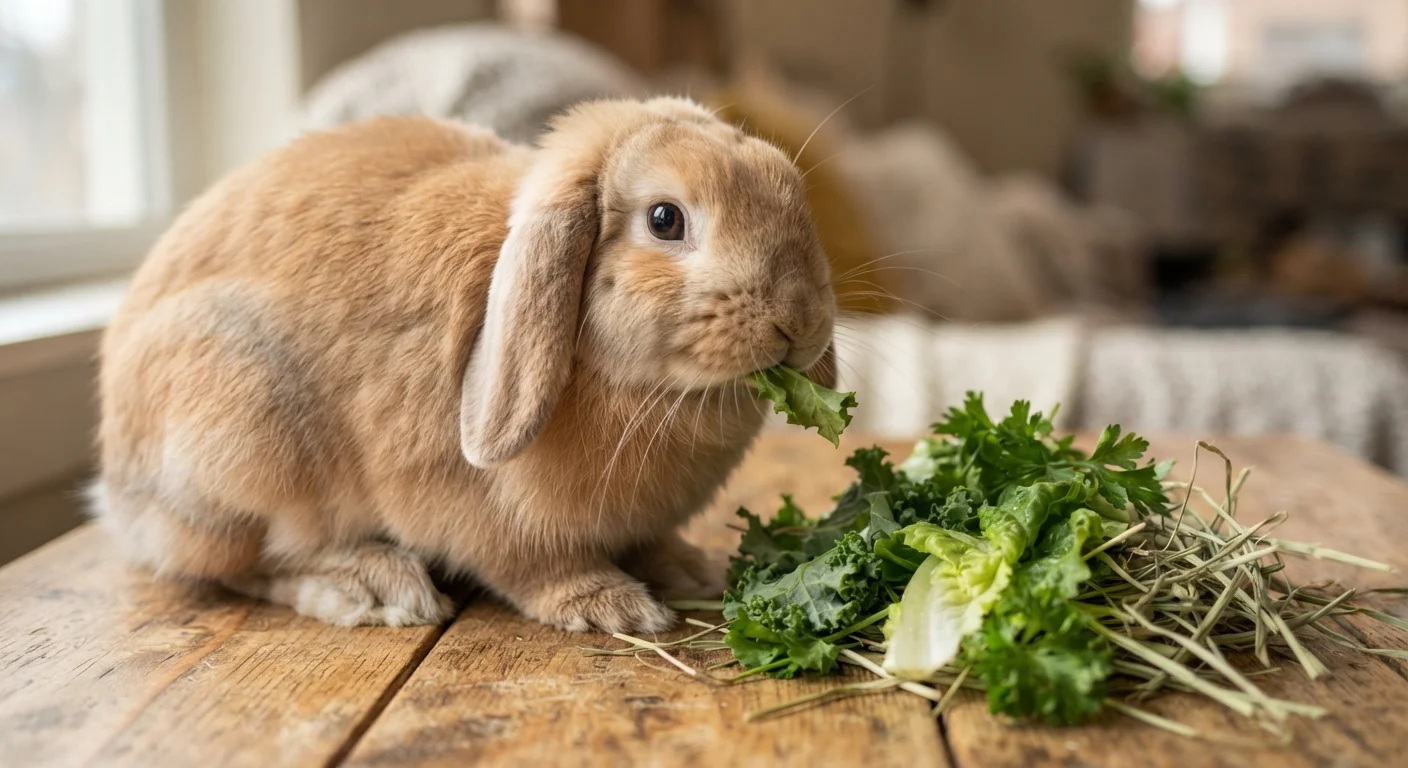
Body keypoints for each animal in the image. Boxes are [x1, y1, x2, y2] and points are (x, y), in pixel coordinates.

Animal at [91, 97, 837, 633]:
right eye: (664, 219)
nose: (797, 319)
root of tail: (119, 492)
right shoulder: (483, 513)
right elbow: (531, 565)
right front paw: (611, 606)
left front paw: (691, 570)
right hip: (241, 436)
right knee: (248, 563)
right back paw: (370, 587)